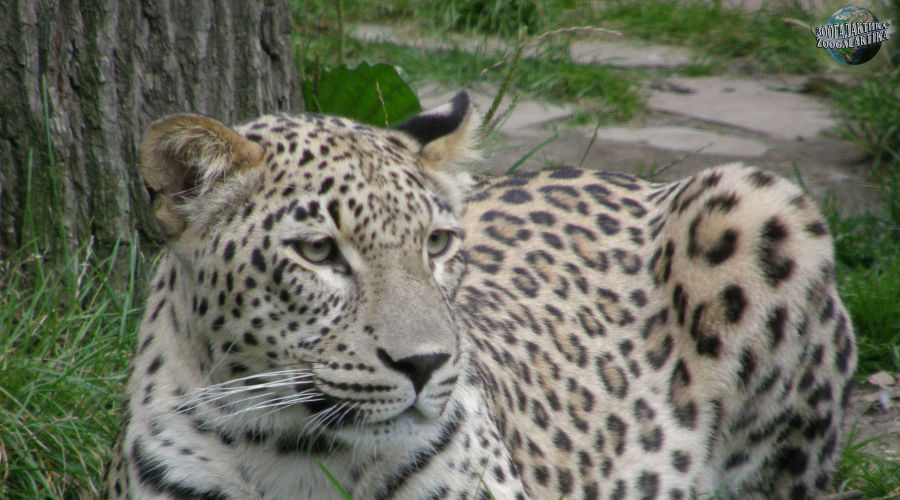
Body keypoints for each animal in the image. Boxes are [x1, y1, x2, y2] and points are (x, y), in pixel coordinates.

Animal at [103, 92, 856, 499]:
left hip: (761, 202)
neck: (301, 461)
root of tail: (631, 178)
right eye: (318, 253)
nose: (426, 364)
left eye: (436, 244)